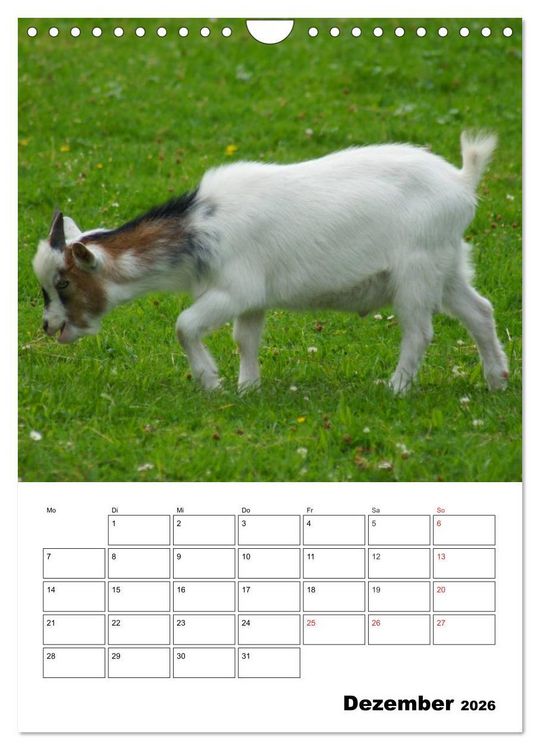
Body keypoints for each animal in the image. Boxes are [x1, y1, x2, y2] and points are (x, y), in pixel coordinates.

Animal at [32, 132, 508, 393]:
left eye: (64, 283)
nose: (49, 327)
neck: (200, 227)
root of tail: (461, 182)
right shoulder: (253, 299)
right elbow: (246, 339)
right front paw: (248, 388)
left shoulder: (234, 289)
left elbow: (184, 325)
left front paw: (211, 382)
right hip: (447, 264)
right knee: (479, 311)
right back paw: (497, 379)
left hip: (416, 271)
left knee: (418, 331)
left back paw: (395, 388)